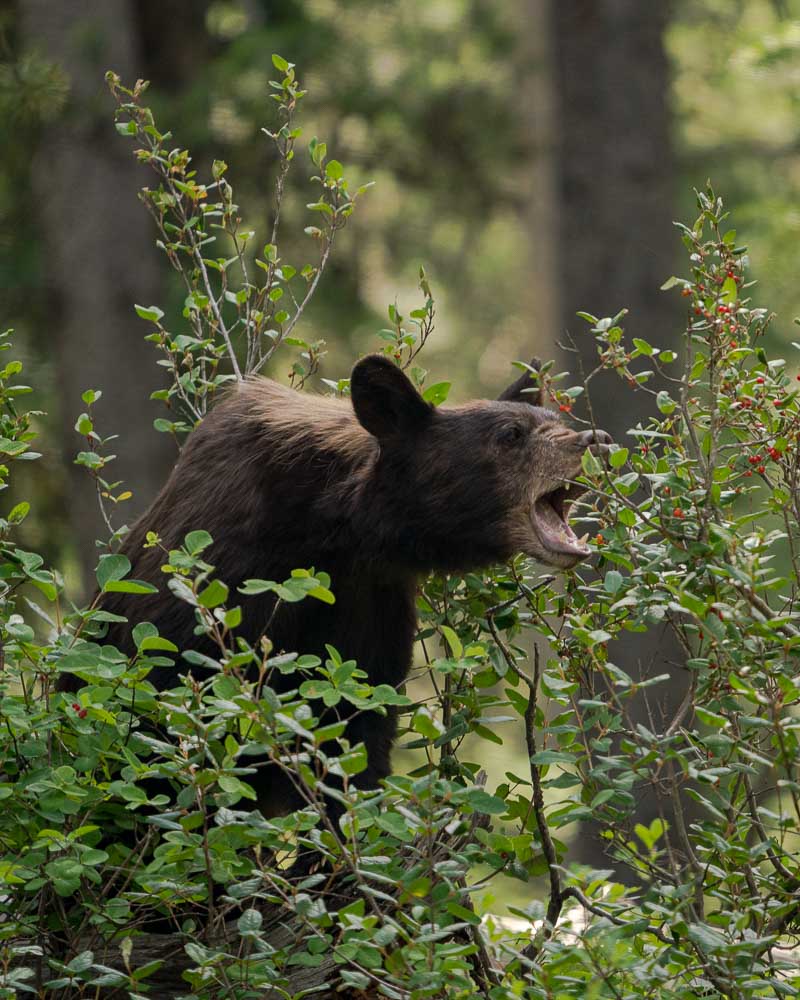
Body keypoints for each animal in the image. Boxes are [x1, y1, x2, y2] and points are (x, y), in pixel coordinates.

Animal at [72, 358, 608, 812]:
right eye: (511, 433)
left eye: (549, 415)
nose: (594, 438)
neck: (334, 527)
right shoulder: (202, 593)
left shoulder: (369, 607)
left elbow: (353, 743)